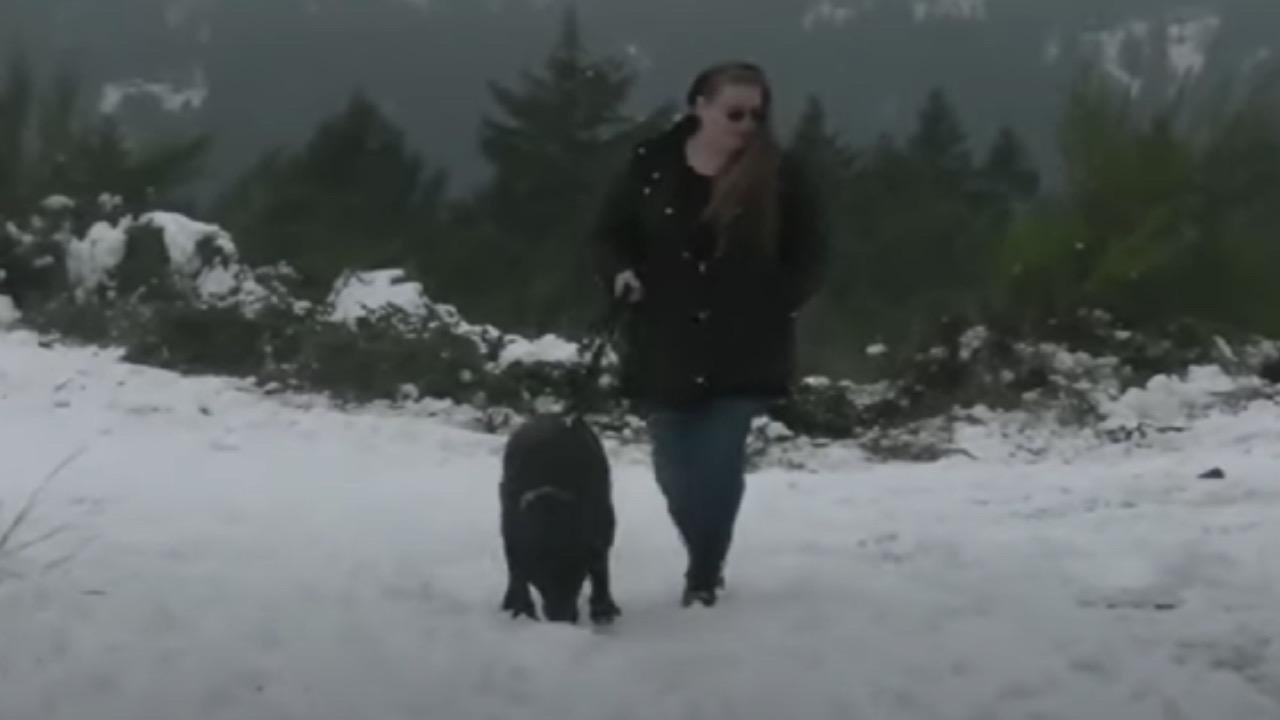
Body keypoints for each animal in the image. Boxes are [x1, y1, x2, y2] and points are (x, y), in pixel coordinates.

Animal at [496, 409, 622, 622]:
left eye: (577, 576)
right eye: (539, 579)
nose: (561, 618)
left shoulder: (601, 532)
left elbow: (600, 570)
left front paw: (603, 608)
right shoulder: (511, 535)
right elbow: (517, 574)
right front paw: (522, 609)